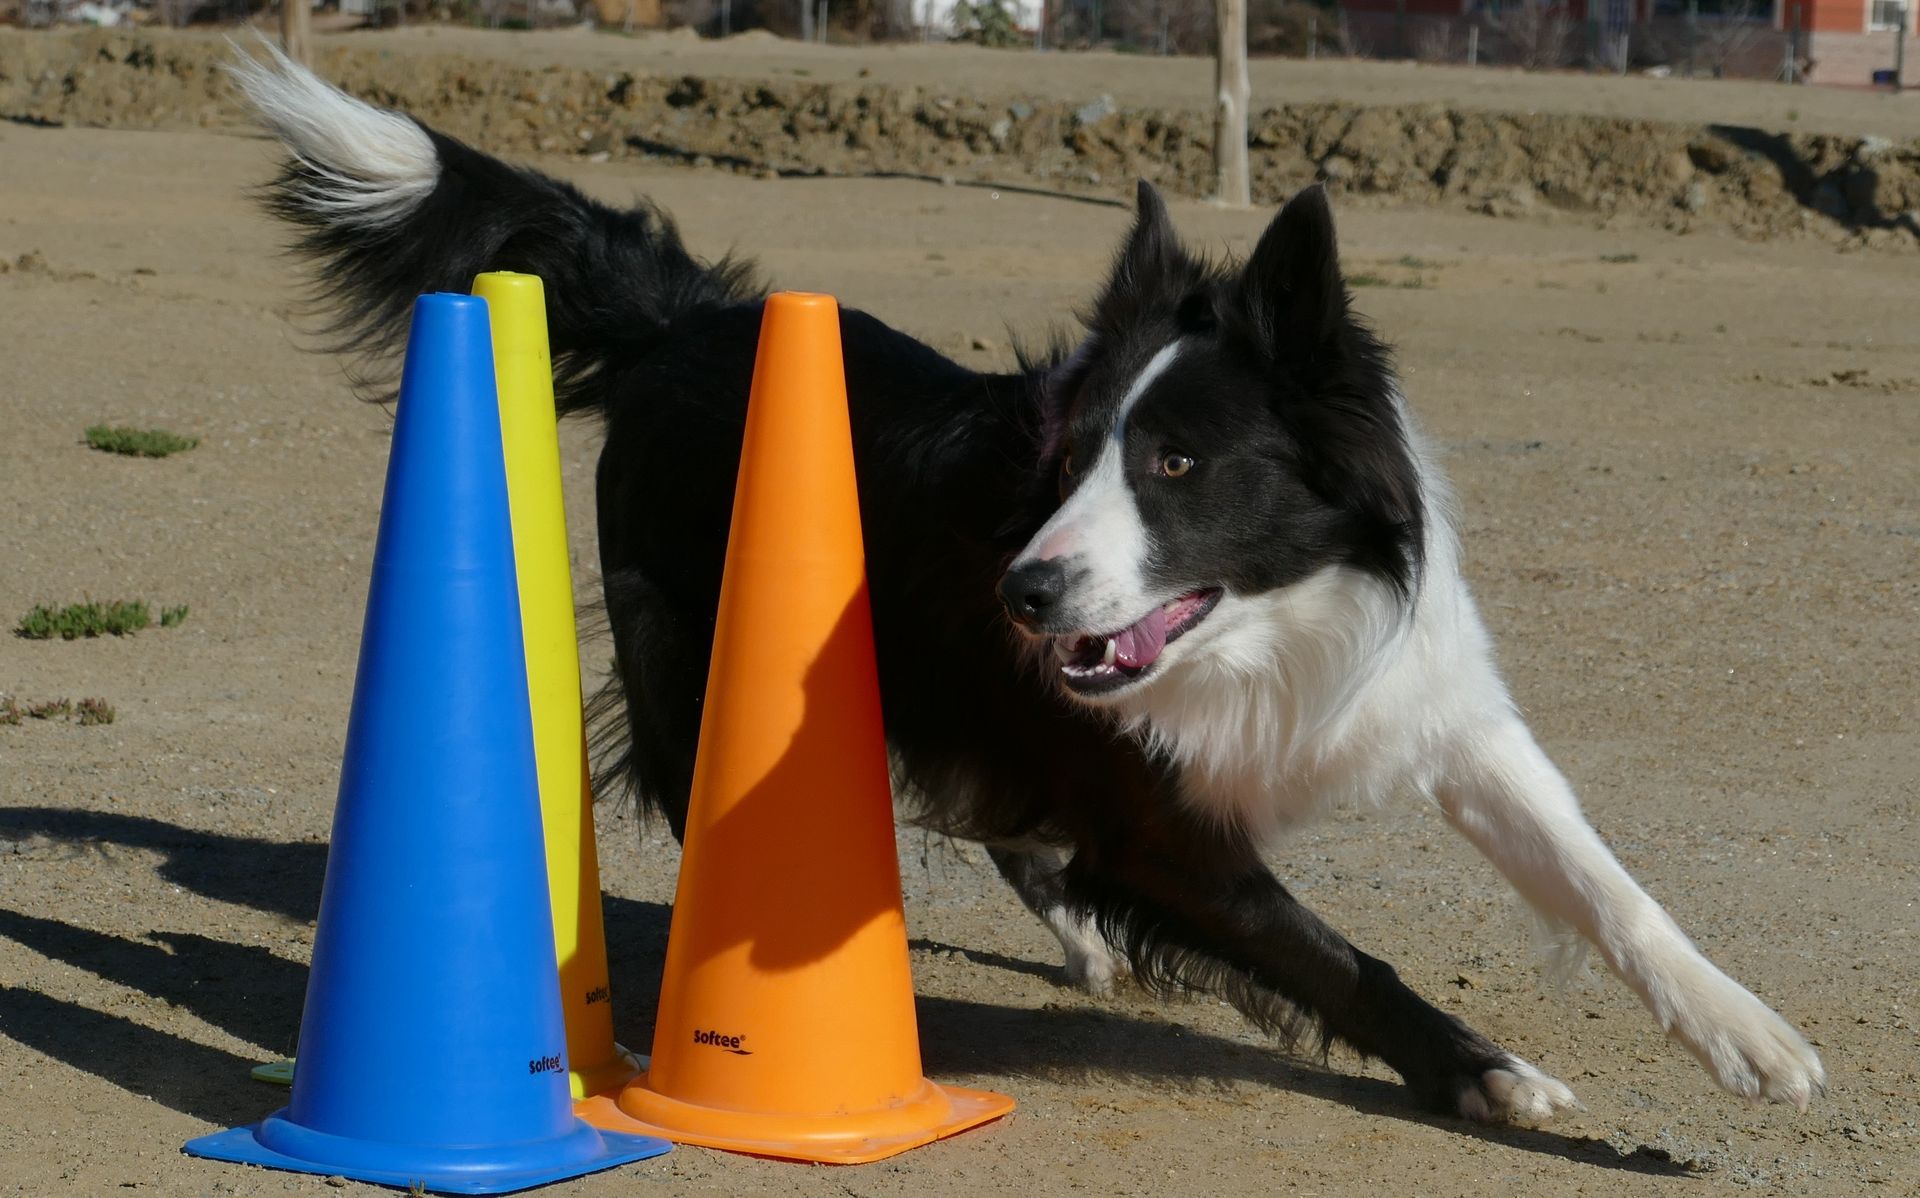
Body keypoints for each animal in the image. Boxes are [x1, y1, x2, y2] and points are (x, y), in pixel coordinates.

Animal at [240, 46, 1827, 1121]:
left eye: (1180, 464)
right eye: (1067, 462)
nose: (1026, 591)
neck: (1263, 633)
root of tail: (698, 320)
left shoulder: (1431, 711)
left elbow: (1606, 882)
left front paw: (1746, 1030)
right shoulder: (1159, 819)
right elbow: (1345, 961)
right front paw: (1489, 1072)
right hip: (729, 683)